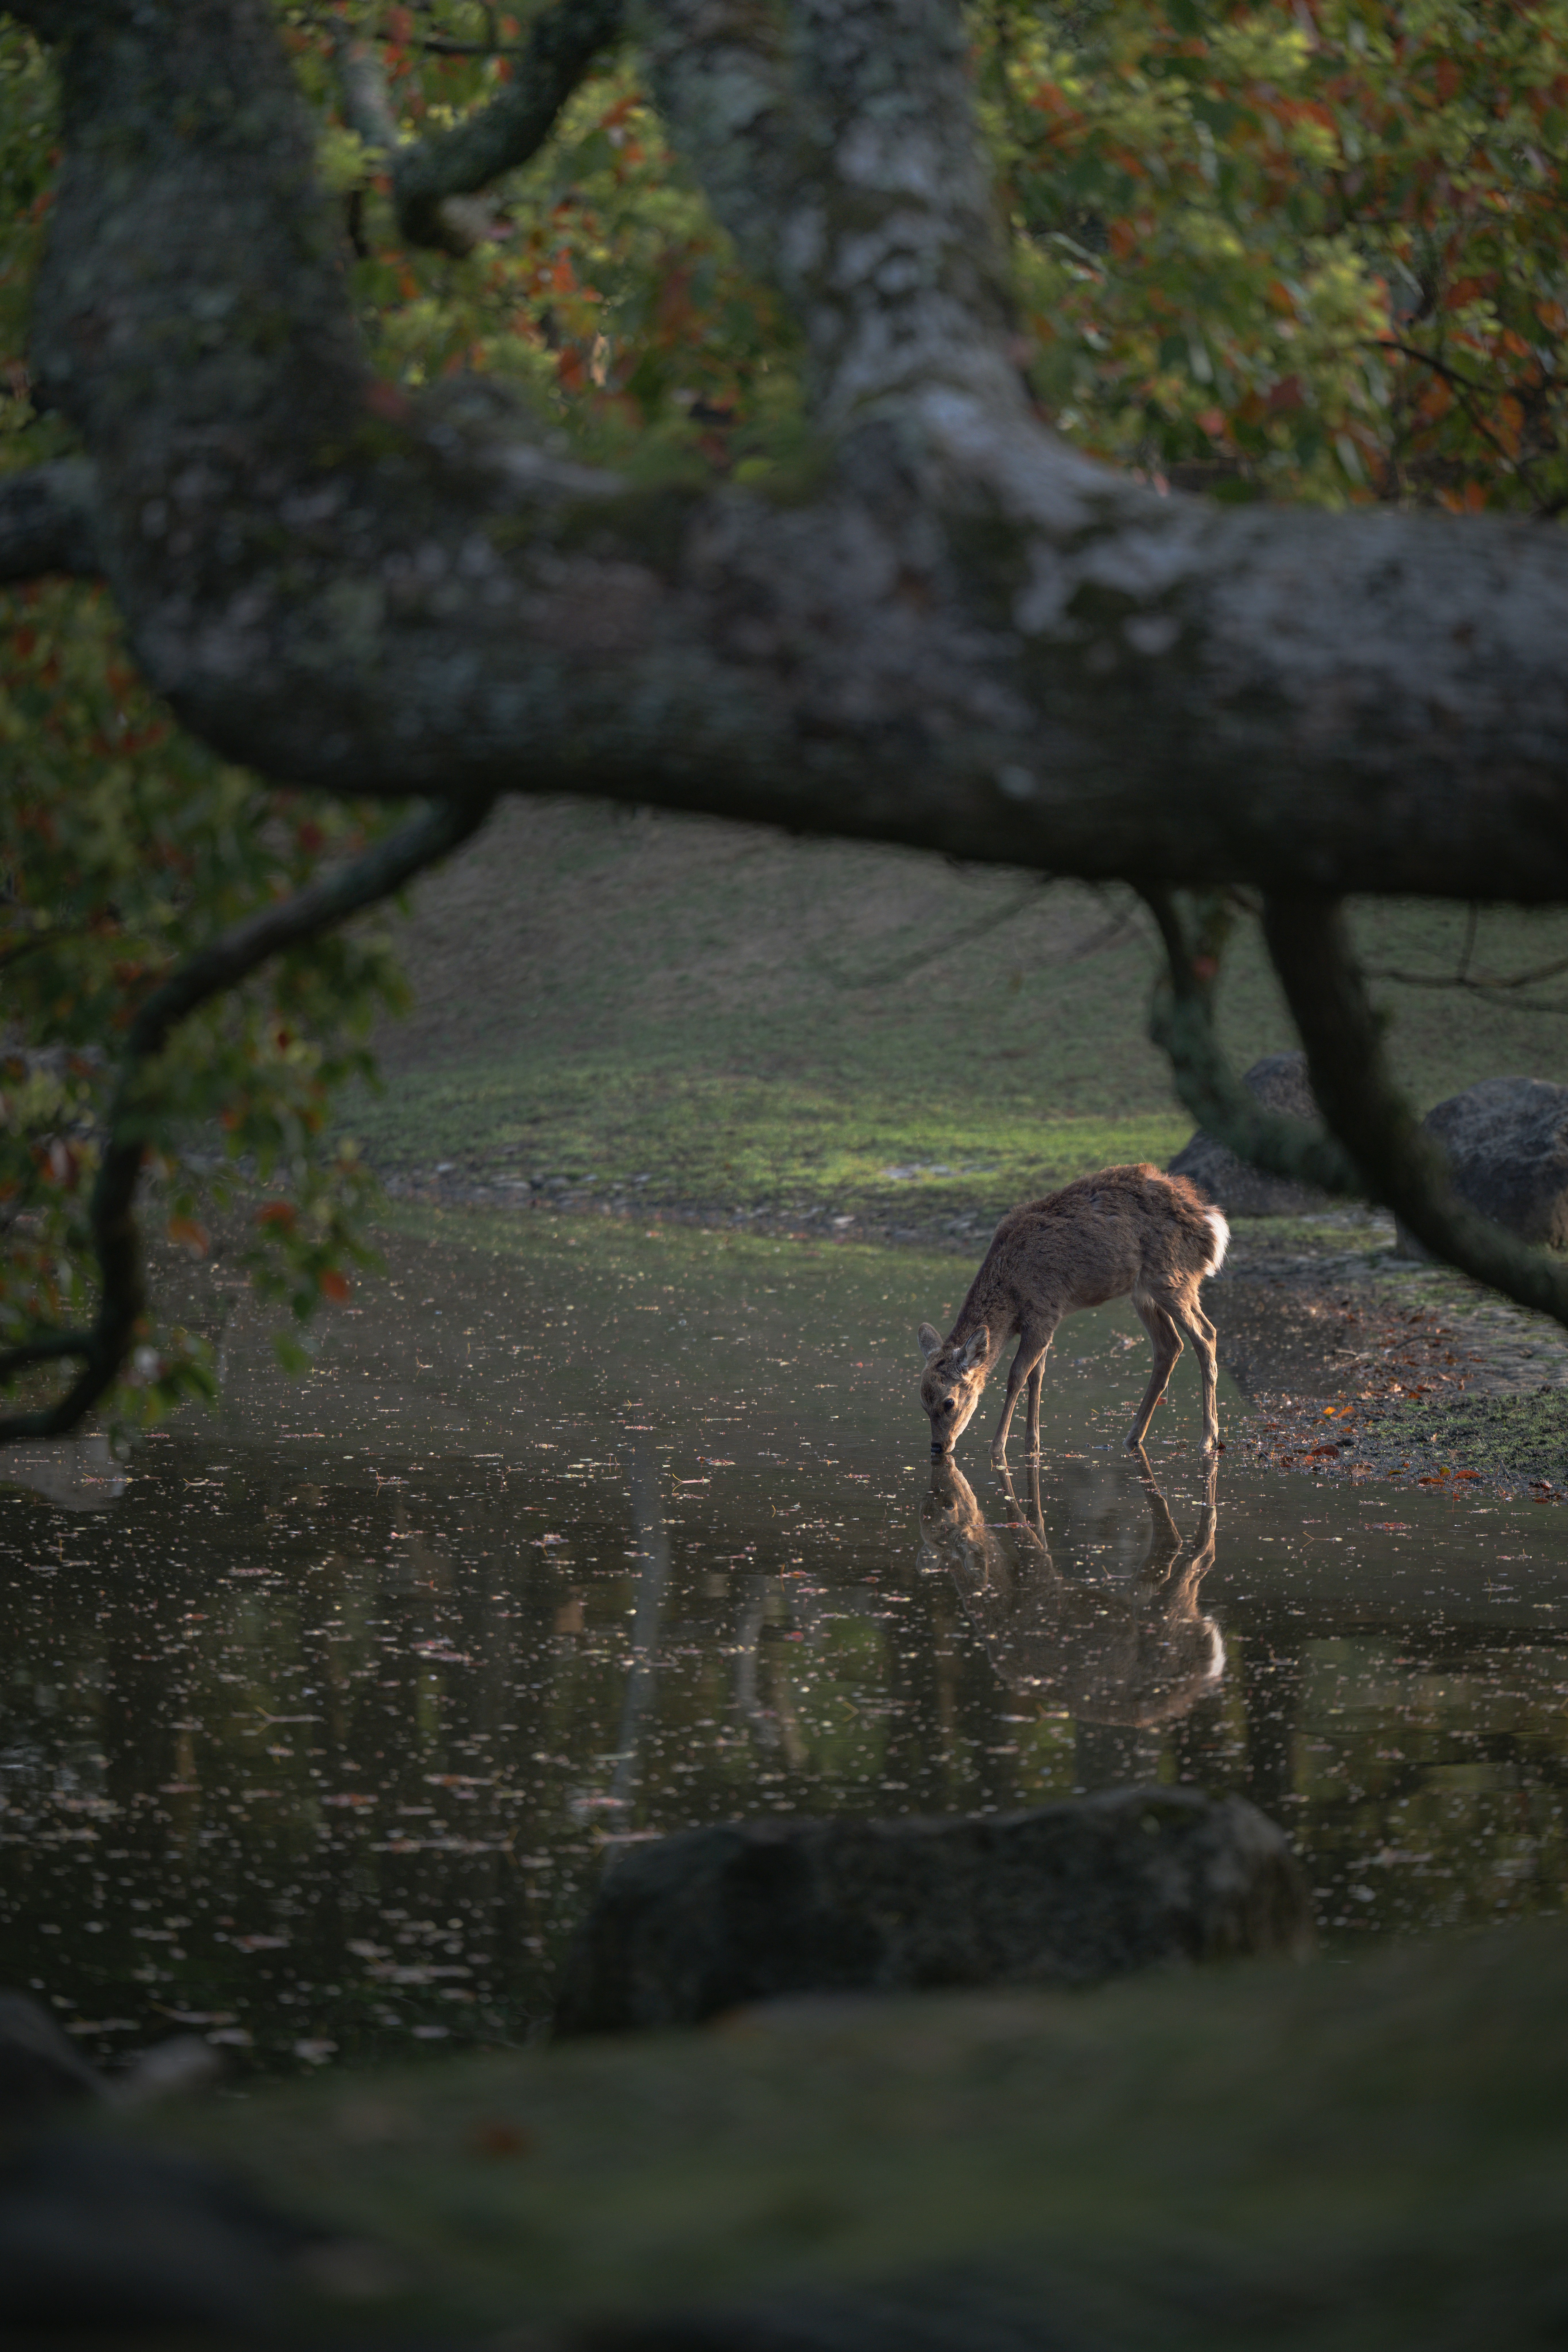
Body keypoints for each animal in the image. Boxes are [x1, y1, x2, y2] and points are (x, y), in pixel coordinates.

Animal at [916, 1164, 1228, 1464]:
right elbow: (1037, 1376)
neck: (1012, 1291)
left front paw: (997, 1449)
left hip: (1172, 1278)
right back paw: (1133, 1438)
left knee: (1206, 1335)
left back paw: (1207, 1440)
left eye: (949, 1402)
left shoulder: (1044, 1311)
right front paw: (1033, 1446)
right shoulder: (1044, 1321)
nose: (937, 1447)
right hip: (1143, 1292)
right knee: (1170, 1345)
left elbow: (1017, 1375)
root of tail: (1214, 1223)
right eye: (922, 1402)